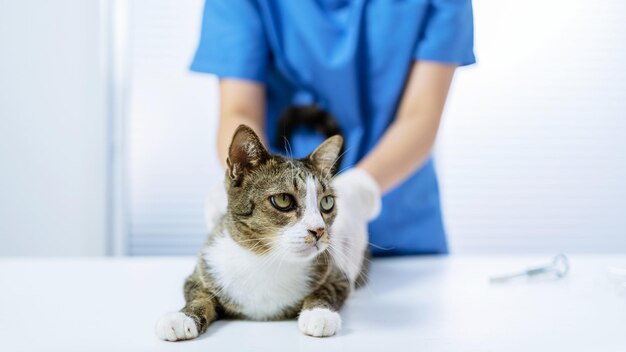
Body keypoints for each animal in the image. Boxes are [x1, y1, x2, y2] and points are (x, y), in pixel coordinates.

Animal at [154, 125, 366, 340]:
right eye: (283, 200)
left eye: (327, 202)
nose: (319, 230)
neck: (266, 260)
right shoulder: (203, 270)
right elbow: (199, 294)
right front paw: (183, 317)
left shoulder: (338, 276)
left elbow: (326, 291)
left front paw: (319, 313)